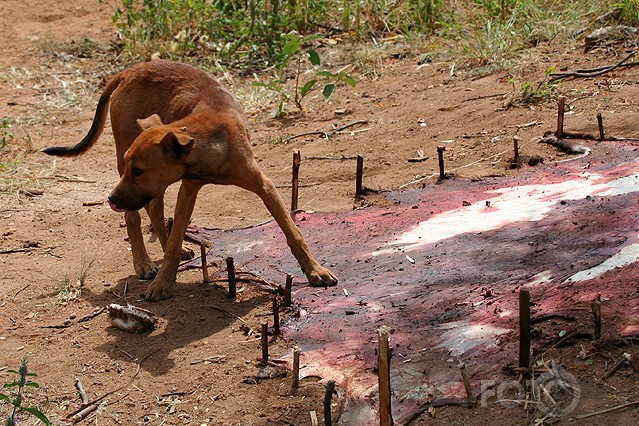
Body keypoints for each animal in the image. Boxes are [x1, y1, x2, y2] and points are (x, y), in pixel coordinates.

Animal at [42, 60, 338, 302]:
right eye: (130, 167)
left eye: (137, 169)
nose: (111, 199)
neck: (209, 143)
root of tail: (129, 71)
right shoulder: (188, 189)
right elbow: (172, 244)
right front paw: (162, 283)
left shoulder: (263, 186)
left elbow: (293, 232)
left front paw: (315, 270)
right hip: (133, 165)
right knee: (133, 215)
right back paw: (143, 262)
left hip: (154, 185)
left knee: (153, 208)